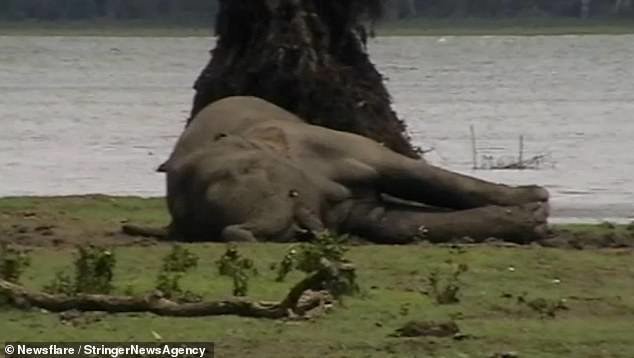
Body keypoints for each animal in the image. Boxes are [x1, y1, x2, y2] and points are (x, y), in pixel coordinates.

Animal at [162, 96, 548, 245]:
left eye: (246, 168)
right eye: (203, 221)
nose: (238, 232)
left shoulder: (325, 142)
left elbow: (412, 174)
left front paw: (536, 200)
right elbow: (389, 223)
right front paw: (532, 218)